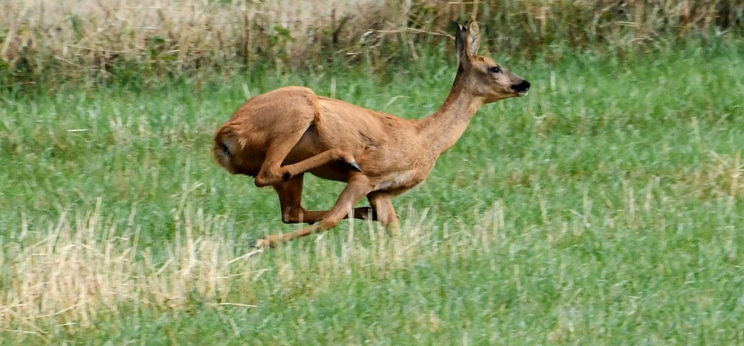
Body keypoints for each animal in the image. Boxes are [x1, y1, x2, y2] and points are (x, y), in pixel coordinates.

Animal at [212, 22, 532, 249]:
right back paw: (345, 158)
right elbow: (332, 219)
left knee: (290, 208)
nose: (524, 83)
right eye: (495, 67)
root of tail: (223, 138)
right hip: (298, 110)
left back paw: (364, 210)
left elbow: (393, 226)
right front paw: (261, 241)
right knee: (268, 175)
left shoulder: (382, 190)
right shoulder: (367, 177)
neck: (425, 140)